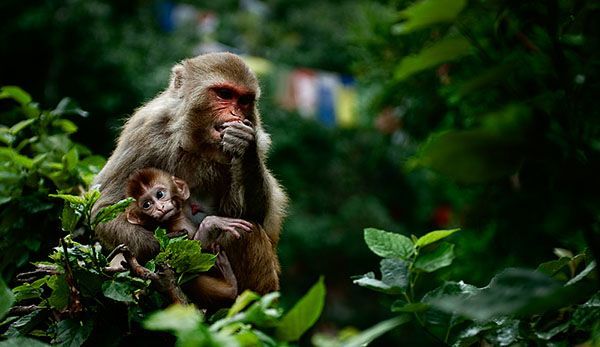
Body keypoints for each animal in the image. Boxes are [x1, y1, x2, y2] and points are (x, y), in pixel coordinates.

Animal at [93, 53, 288, 294]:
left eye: (244, 100)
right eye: (224, 94)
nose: (235, 114)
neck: (198, 144)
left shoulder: (258, 136)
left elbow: (254, 214)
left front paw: (245, 145)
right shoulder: (145, 131)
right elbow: (104, 210)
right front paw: (166, 244)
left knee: (246, 231)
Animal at [125, 169, 252, 310]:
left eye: (160, 194)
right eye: (146, 205)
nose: (160, 207)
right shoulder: (179, 228)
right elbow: (194, 261)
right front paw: (209, 225)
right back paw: (230, 283)